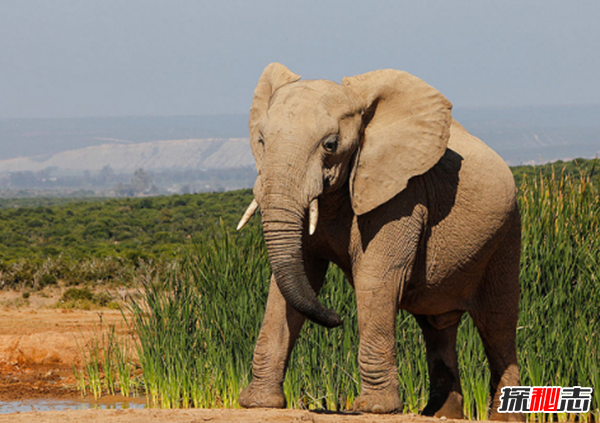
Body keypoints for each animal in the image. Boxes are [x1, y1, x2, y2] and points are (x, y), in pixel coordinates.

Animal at [237, 62, 524, 420]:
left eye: (330, 145)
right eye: (261, 140)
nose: (337, 319)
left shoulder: (401, 194)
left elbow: (376, 279)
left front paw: (374, 408)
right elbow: (289, 283)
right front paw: (259, 402)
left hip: (507, 231)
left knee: (497, 324)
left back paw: (503, 415)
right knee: (437, 325)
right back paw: (440, 414)